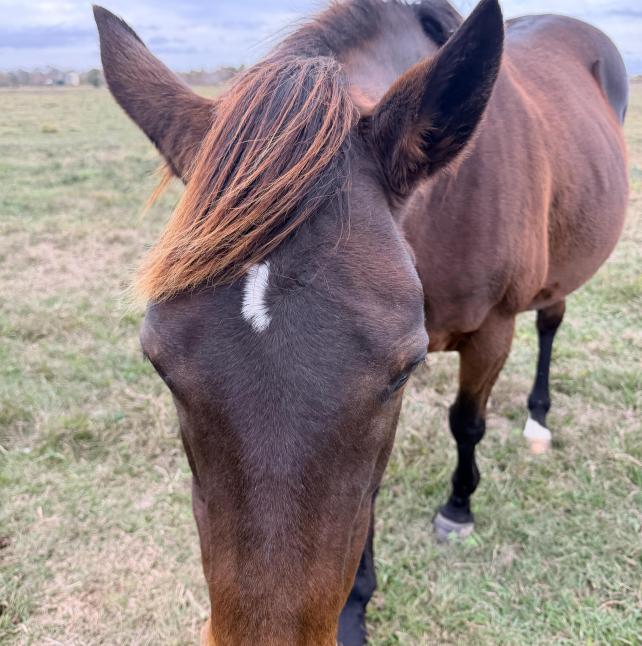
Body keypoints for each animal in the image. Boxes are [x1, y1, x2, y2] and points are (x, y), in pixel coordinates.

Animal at [94, 0, 628, 643]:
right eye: (159, 363)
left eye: (403, 369)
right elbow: (369, 492)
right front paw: (355, 607)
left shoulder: (491, 331)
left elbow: (466, 423)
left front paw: (457, 509)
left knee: (550, 323)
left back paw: (538, 422)